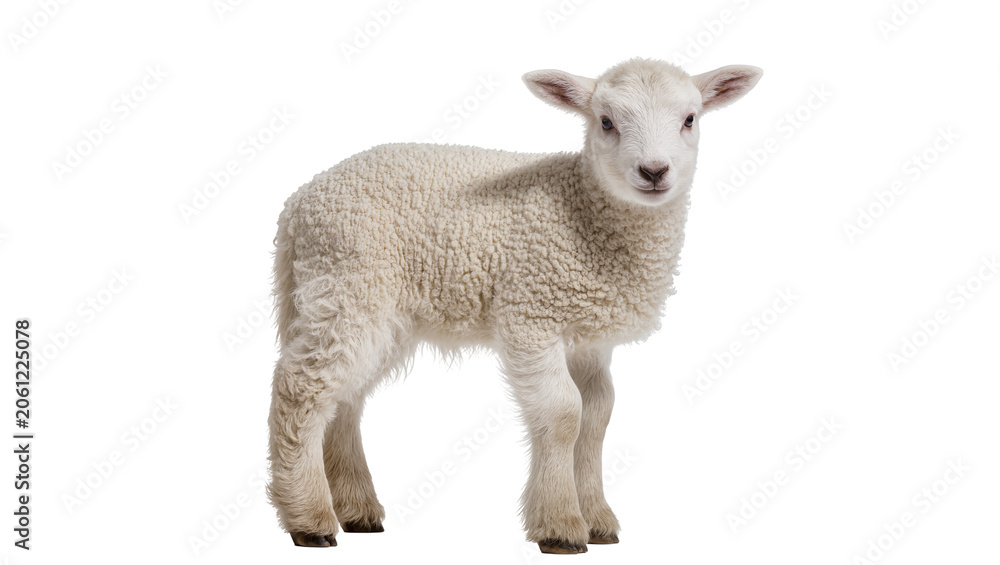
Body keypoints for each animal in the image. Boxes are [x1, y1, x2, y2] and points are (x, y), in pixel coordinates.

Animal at [267, 57, 762, 553]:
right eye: (606, 122)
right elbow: (564, 414)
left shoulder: (591, 338)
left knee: (345, 398)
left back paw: (357, 508)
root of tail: (297, 204)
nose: (654, 171)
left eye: (690, 119)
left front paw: (598, 519)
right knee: (302, 389)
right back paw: (309, 518)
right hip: (347, 283)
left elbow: (597, 416)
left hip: (375, 309)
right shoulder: (532, 314)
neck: (583, 210)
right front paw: (561, 524)